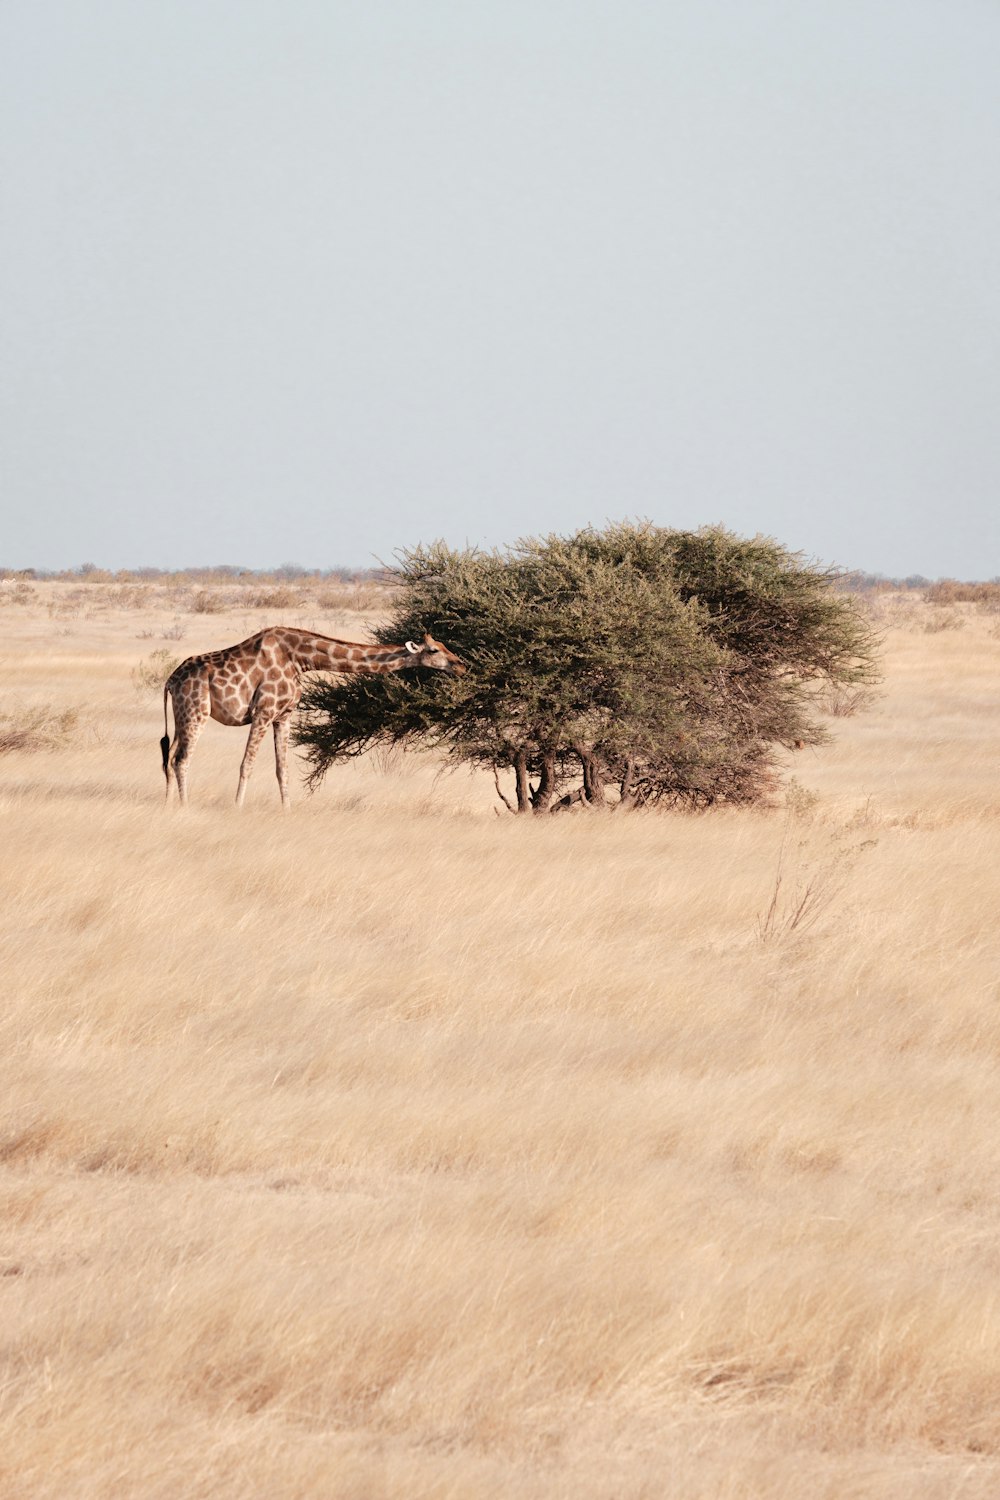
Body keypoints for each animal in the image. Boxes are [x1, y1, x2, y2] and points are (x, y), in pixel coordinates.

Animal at [159, 624, 464, 810]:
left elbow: (282, 769)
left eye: (444, 645)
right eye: (434, 650)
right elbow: (247, 764)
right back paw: (185, 806)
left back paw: (168, 804)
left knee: (169, 756)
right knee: (182, 759)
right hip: (197, 711)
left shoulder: (283, 715)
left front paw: (287, 810)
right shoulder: (263, 711)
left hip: (181, 716)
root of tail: (170, 681)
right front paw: (237, 807)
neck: (300, 659)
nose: (461, 665)